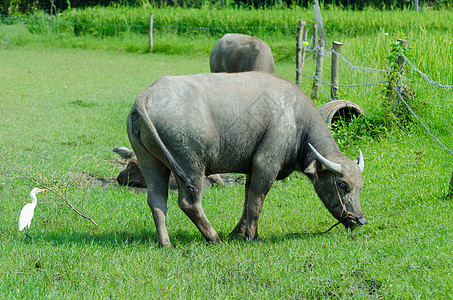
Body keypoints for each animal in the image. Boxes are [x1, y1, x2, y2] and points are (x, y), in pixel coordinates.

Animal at [125, 71, 366, 247]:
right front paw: (252, 235)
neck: (296, 121)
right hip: (190, 165)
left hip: (150, 162)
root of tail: (146, 96)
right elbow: (257, 201)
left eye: (360, 186)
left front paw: (238, 232)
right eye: (342, 185)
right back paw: (213, 238)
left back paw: (165, 243)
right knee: (188, 202)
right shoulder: (266, 164)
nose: (361, 220)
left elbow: (247, 200)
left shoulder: (252, 169)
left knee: (156, 199)